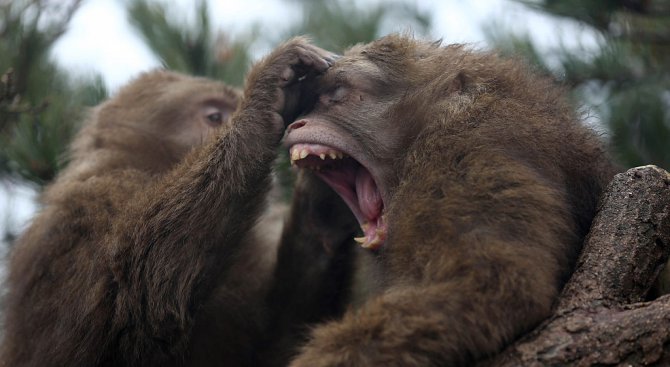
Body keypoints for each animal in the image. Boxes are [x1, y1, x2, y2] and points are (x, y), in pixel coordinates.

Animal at [1, 38, 356, 367]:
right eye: (215, 116)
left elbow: (276, 348)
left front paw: (324, 207)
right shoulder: (90, 207)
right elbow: (137, 306)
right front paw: (265, 99)